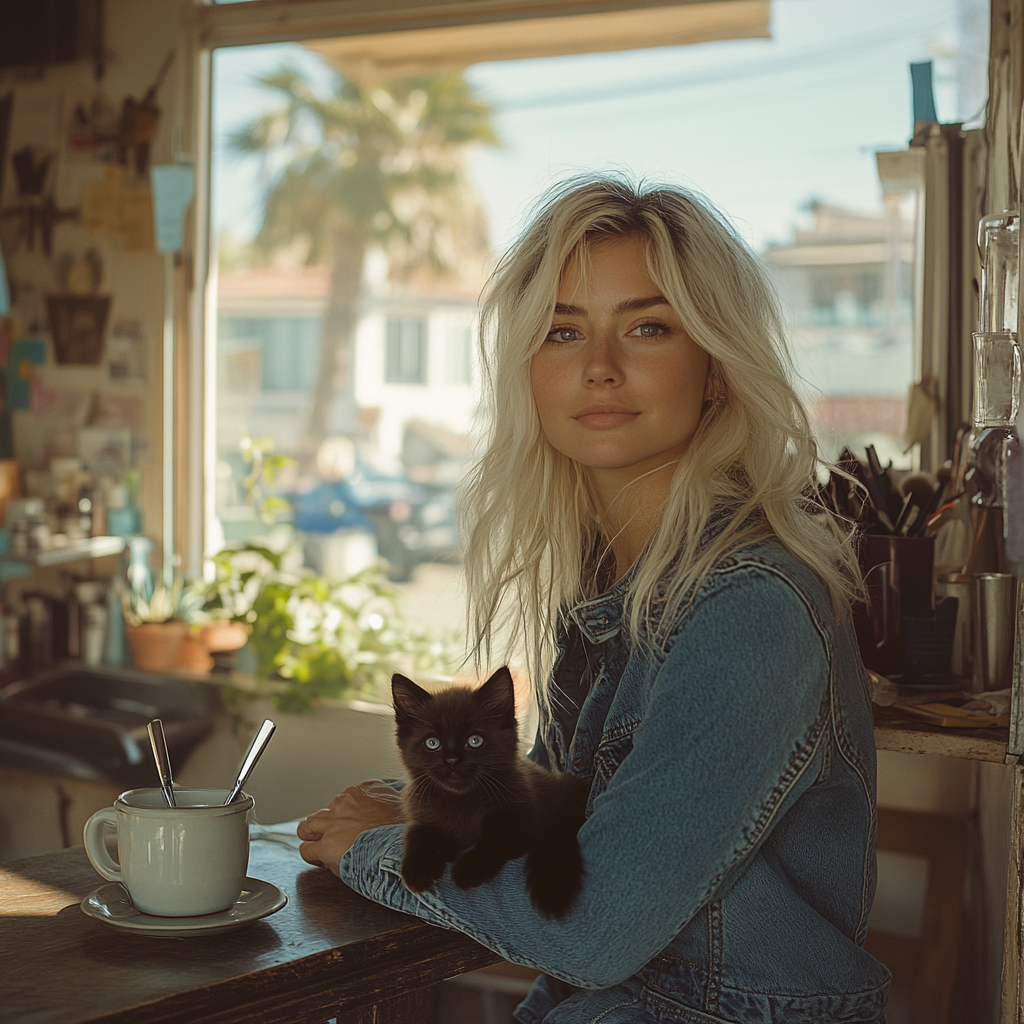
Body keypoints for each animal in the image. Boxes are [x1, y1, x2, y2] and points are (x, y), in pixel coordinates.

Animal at [391, 663, 589, 921]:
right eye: (432, 743)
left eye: (475, 740)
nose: (452, 761)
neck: (462, 802)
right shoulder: (422, 812)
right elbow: (417, 834)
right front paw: (417, 869)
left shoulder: (526, 817)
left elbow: (497, 836)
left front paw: (470, 868)